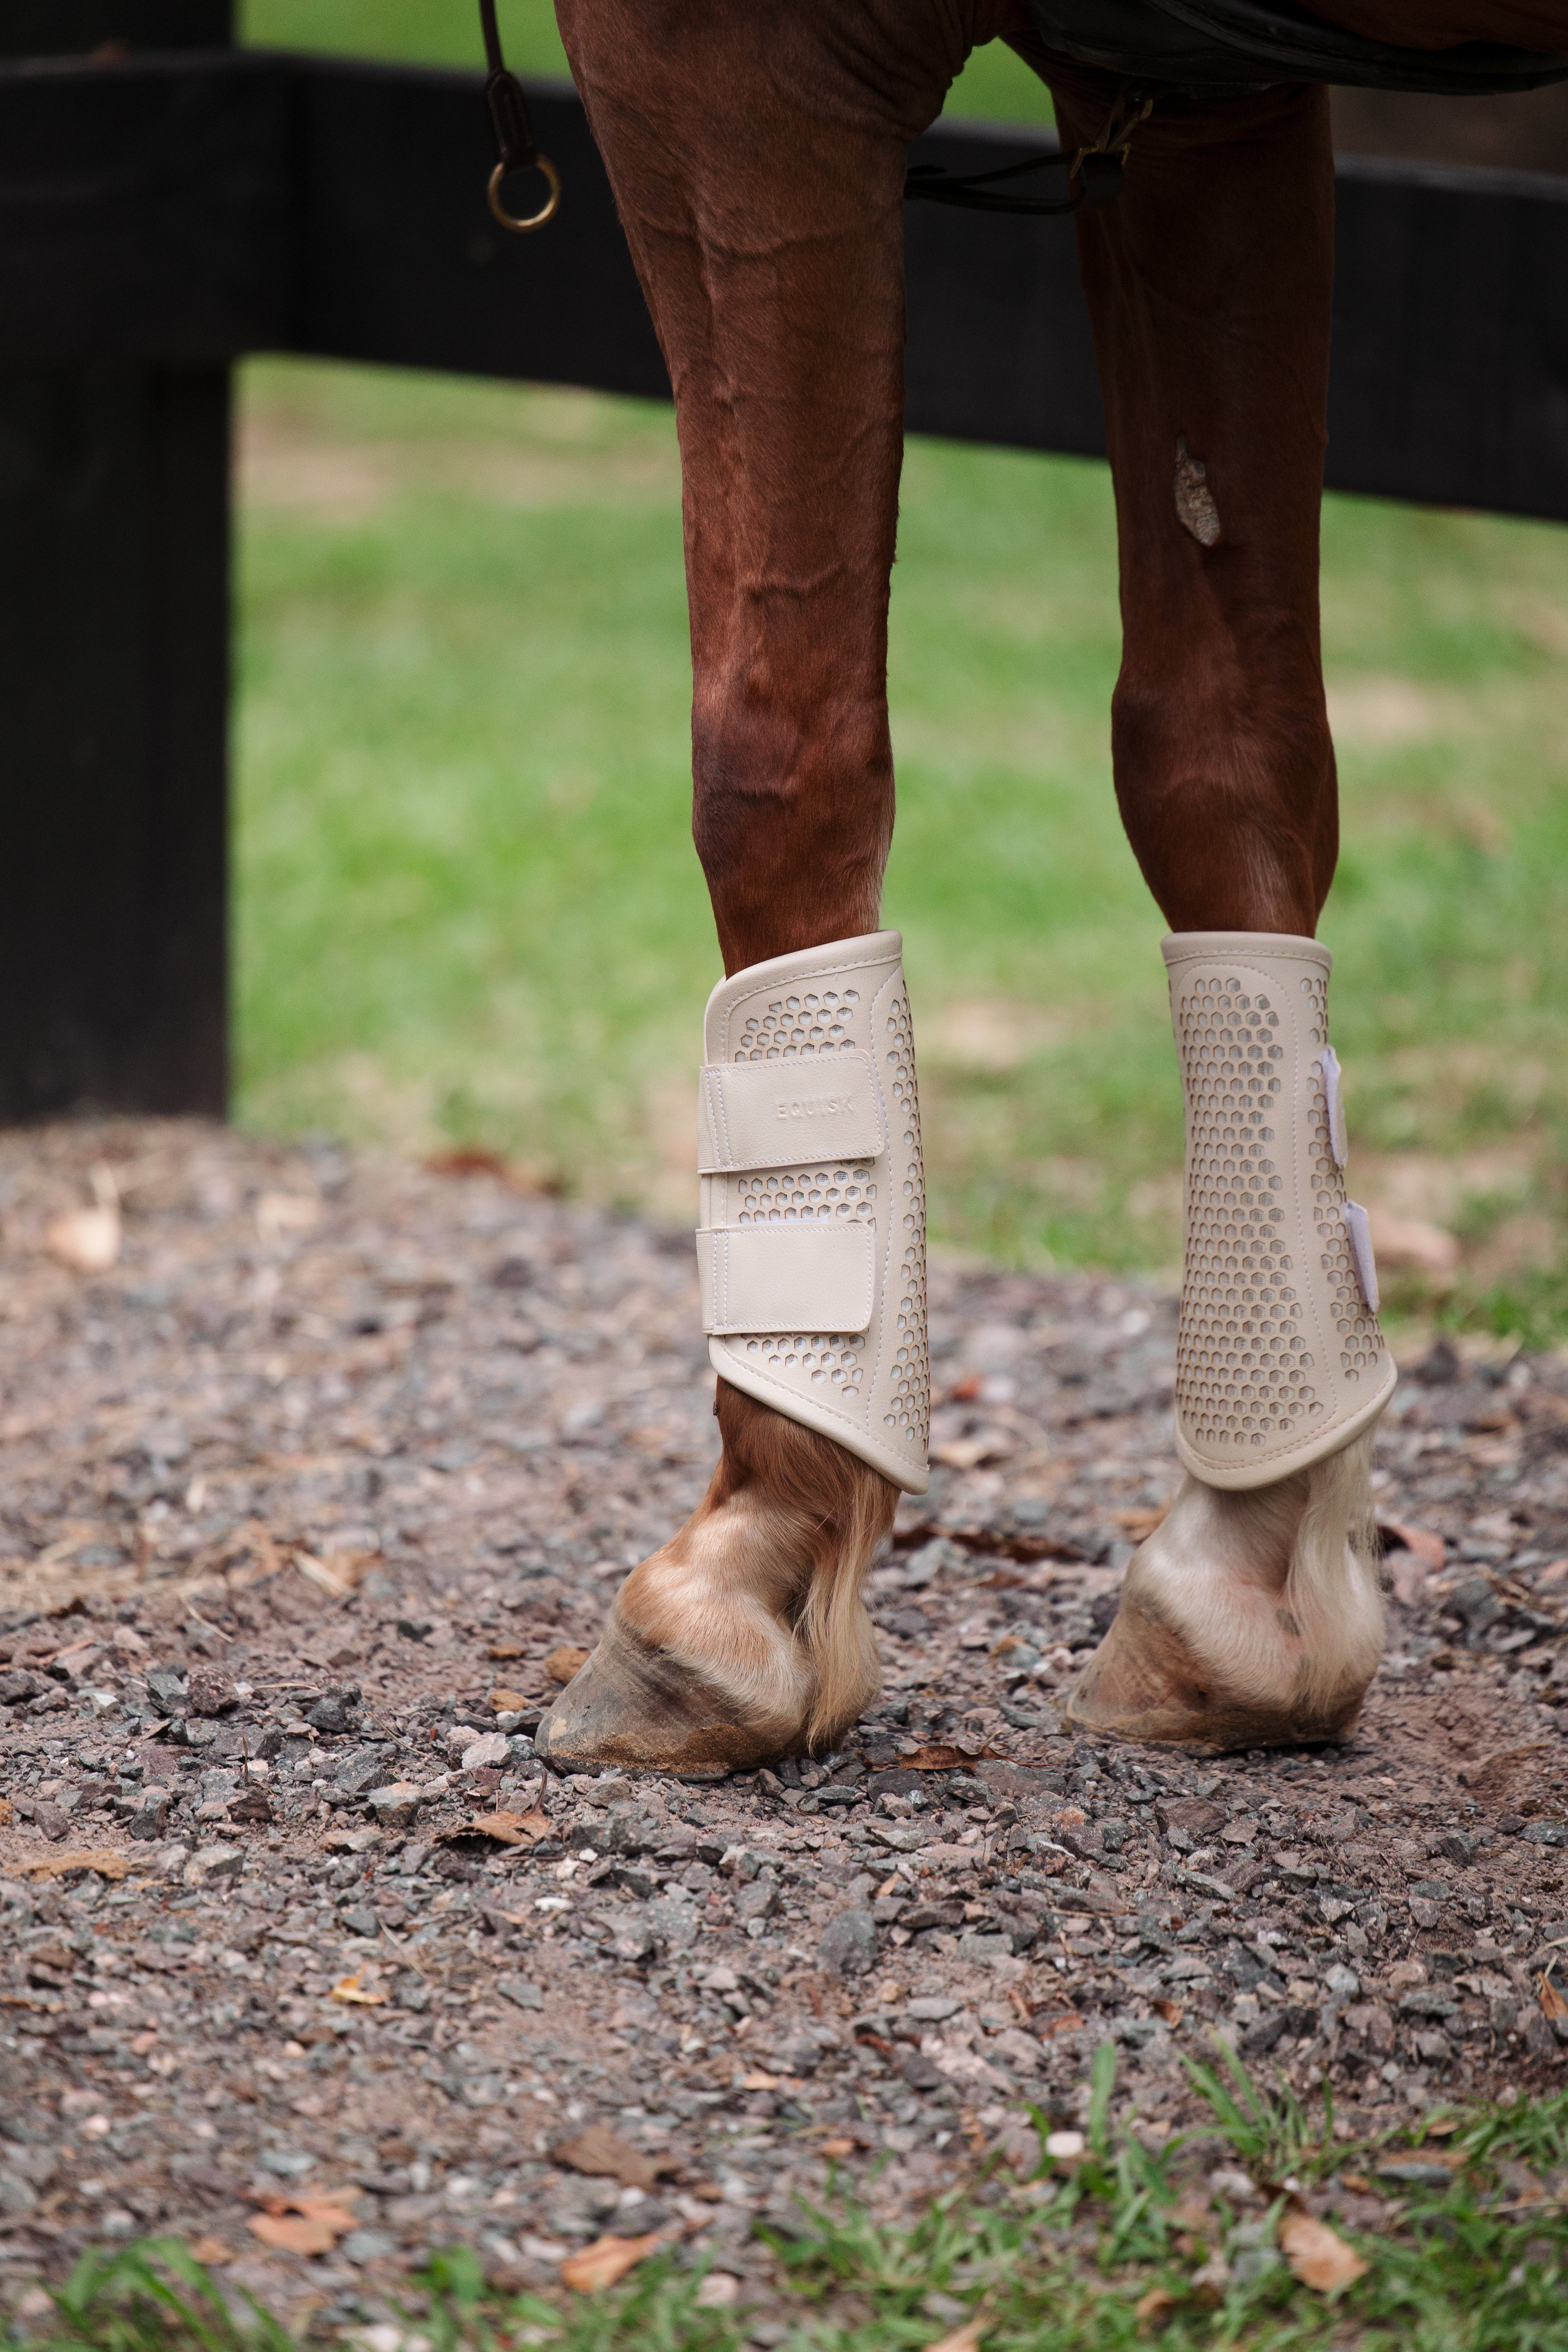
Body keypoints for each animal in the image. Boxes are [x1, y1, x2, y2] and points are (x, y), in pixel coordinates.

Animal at [533, 0, 1568, 1776]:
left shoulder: (723, 67)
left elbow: (776, 752)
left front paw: (748, 1565)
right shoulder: (1204, 101)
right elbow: (1219, 745)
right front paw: (1249, 1584)